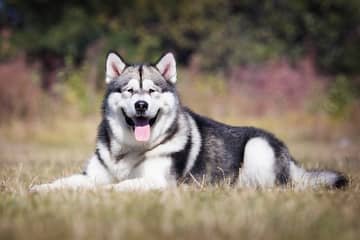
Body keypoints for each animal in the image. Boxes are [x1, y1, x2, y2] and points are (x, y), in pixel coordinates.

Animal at [31, 52, 348, 191]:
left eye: (152, 91)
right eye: (129, 91)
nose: (141, 105)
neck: (130, 150)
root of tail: (292, 160)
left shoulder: (156, 182)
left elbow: (115, 187)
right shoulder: (92, 175)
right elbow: (62, 183)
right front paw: (37, 192)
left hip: (257, 147)